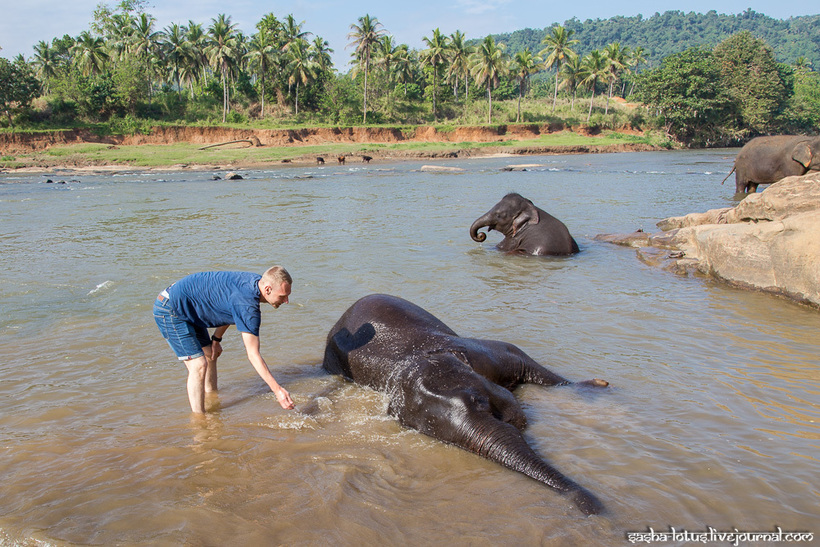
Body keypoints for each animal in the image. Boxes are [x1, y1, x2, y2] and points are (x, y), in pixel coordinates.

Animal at [320, 294, 608, 516]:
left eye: (479, 402)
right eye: (436, 434)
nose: (592, 508)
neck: (411, 361)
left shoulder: (483, 353)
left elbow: (518, 356)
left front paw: (599, 385)